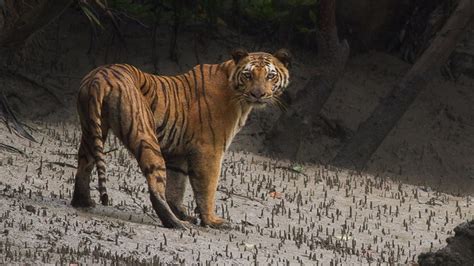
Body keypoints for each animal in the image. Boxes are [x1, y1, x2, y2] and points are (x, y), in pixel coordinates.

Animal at [71, 47, 290, 229]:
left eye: (270, 76)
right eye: (248, 75)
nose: (258, 94)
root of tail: (100, 76)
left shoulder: (178, 154)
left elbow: (177, 187)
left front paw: (184, 214)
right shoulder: (210, 150)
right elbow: (207, 188)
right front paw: (212, 221)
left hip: (92, 128)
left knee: (84, 164)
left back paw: (83, 202)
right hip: (145, 136)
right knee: (155, 186)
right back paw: (175, 224)